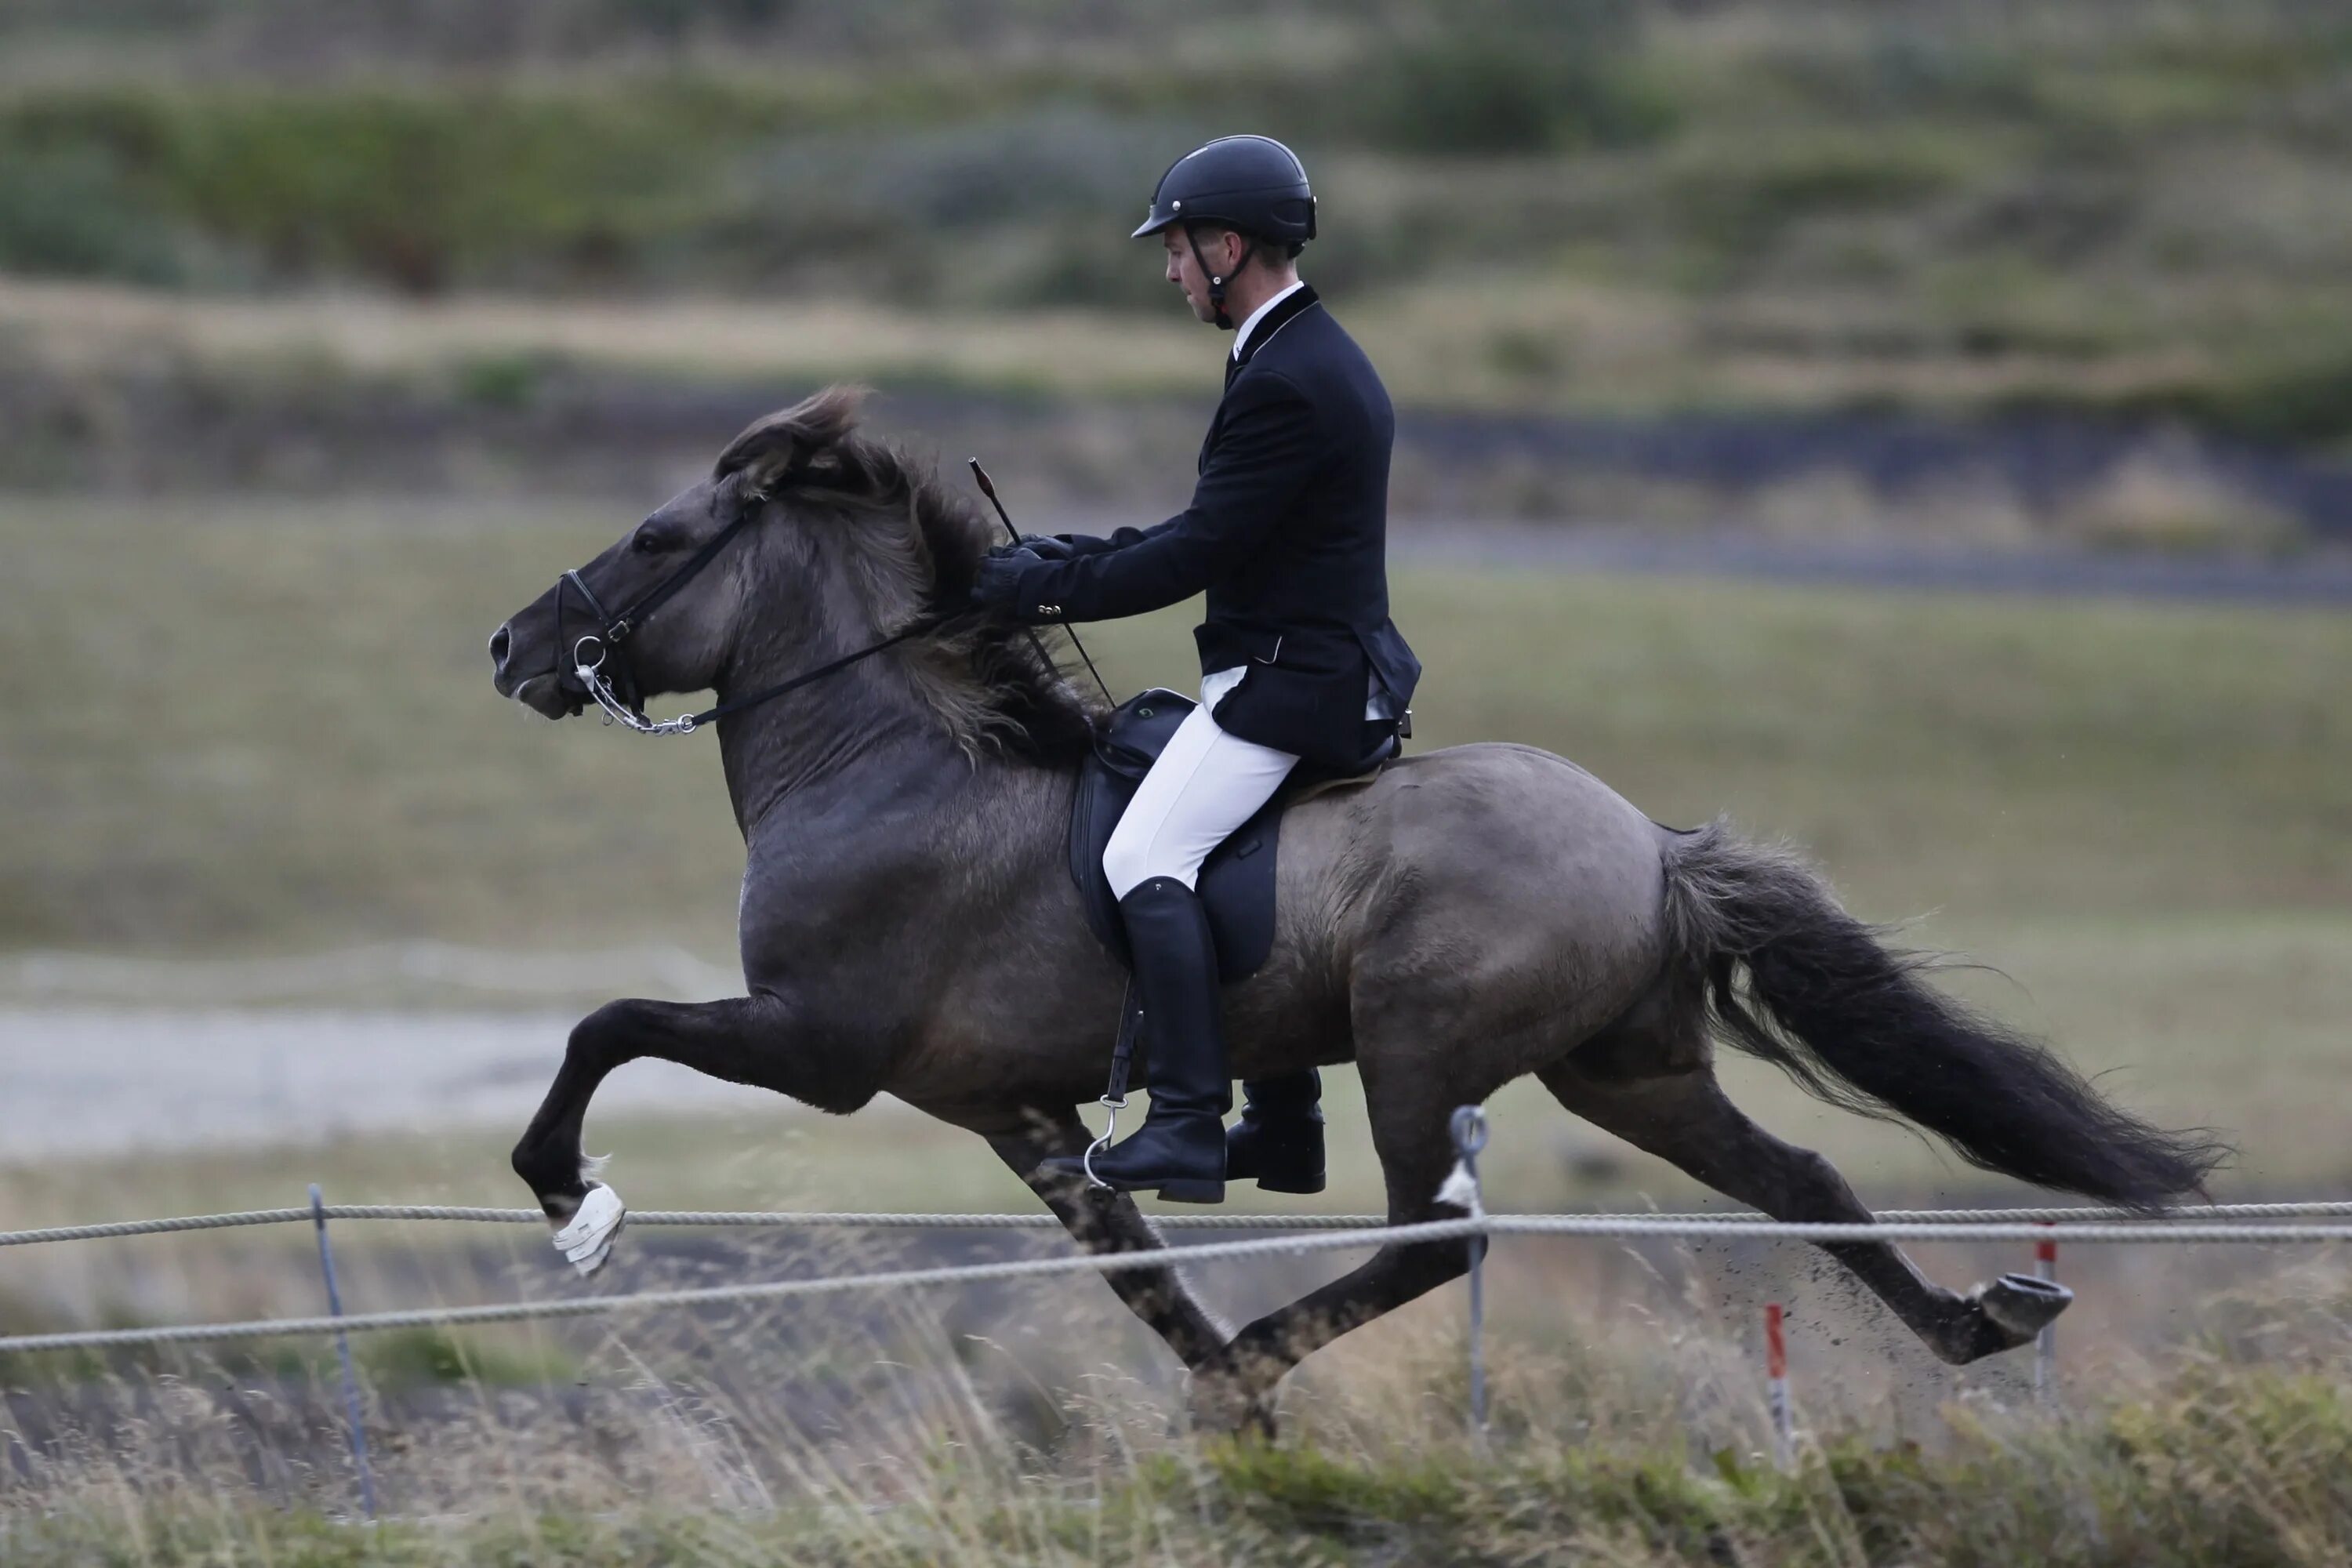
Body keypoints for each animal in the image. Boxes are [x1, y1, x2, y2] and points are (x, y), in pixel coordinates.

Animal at [492, 390, 2220, 1439]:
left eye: (657, 539)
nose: (511, 647)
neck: (888, 760)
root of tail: (1649, 845)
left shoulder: (820, 1045)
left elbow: (605, 1024)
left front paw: (571, 1195)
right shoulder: (1012, 1111)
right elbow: (1132, 1269)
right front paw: (1232, 1410)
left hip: (1418, 1050)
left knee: (1432, 1244)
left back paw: (1272, 1354)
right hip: (1628, 1068)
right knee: (1800, 1179)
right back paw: (1979, 1324)